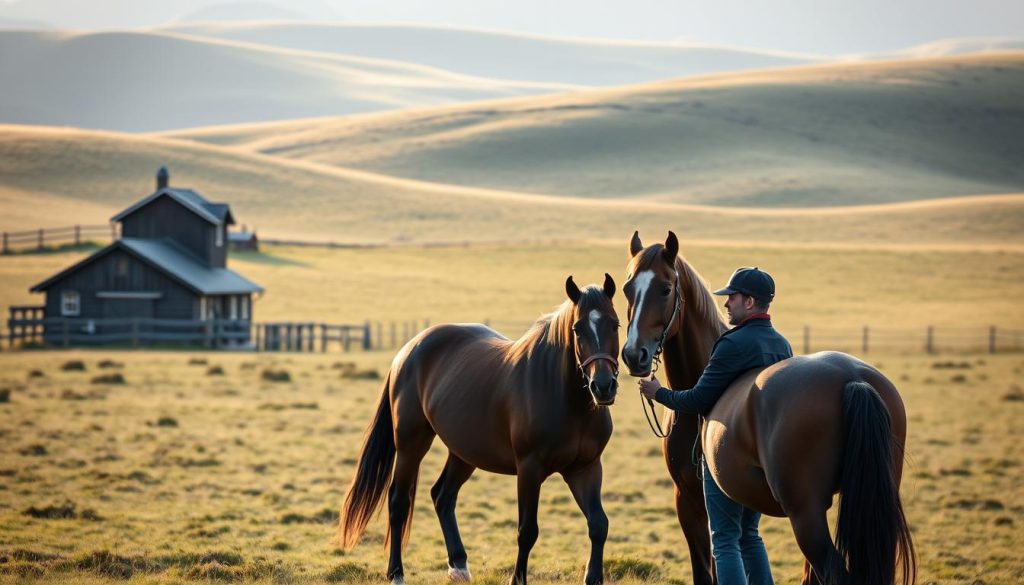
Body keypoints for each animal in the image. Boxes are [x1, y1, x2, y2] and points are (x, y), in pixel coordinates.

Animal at [339, 276, 618, 585]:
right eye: (577, 329)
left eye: (615, 324)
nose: (603, 386)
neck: (566, 397)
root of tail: (408, 350)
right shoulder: (529, 469)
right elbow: (527, 531)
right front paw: (517, 579)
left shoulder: (585, 468)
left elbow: (599, 524)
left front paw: (593, 578)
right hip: (411, 444)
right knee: (399, 501)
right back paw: (397, 573)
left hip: (464, 452)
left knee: (443, 495)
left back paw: (459, 565)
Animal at [618, 232, 917, 585]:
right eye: (627, 288)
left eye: (665, 288)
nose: (633, 354)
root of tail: (854, 379)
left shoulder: (690, 499)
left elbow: (708, 569)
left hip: (805, 513)